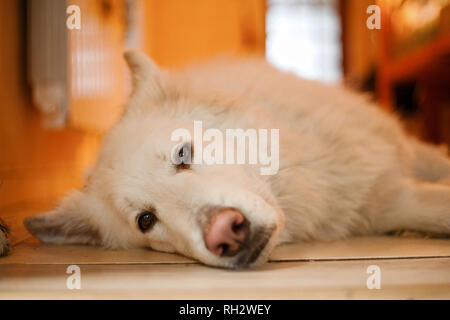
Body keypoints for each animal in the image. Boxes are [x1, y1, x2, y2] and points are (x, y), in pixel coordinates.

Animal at [22, 52, 450, 268]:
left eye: (183, 153)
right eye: (146, 220)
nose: (225, 233)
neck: (310, 170)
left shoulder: (406, 158)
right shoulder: (391, 204)